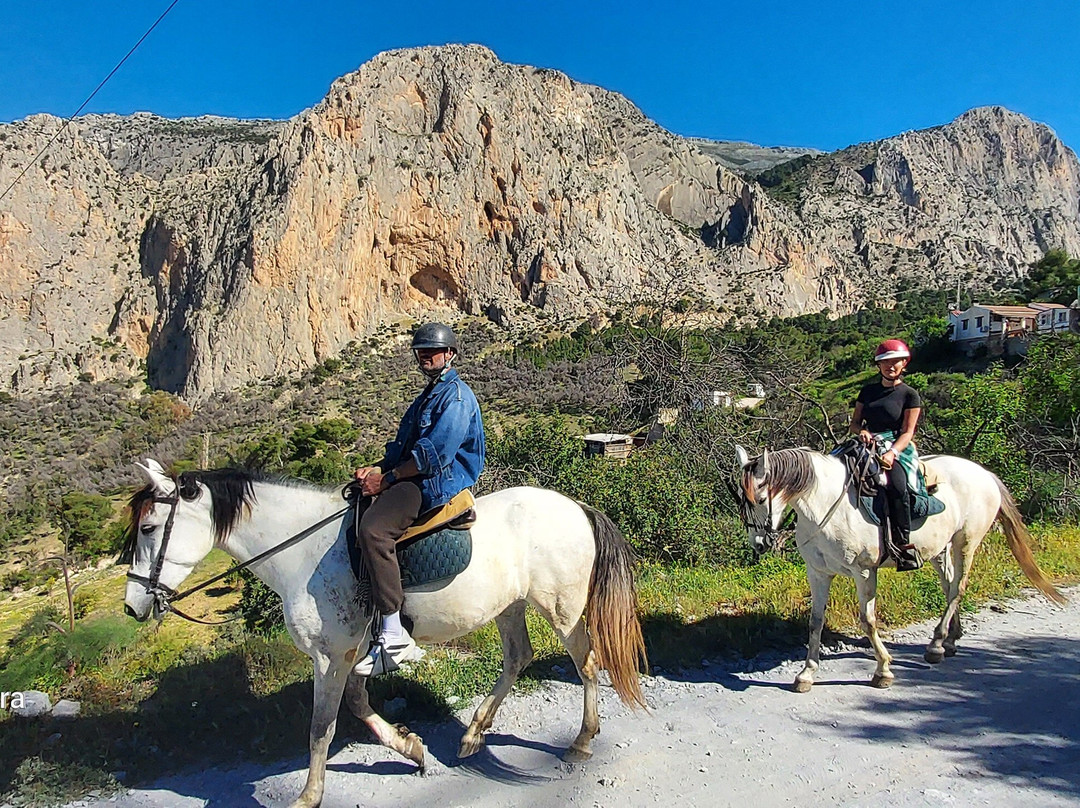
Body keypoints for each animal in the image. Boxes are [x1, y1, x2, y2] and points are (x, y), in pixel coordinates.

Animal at [121, 460, 648, 808]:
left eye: (148, 528)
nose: (133, 606)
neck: (303, 550)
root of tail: (577, 507)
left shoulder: (330, 656)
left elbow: (321, 726)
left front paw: (309, 795)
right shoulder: (352, 654)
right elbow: (357, 705)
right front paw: (410, 748)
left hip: (562, 608)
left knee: (587, 664)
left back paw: (581, 740)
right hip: (510, 606)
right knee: (519, 657)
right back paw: (473, 734)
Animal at [733, 445, 1066, 692]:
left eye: (761, 498)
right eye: (742, 502)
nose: (759, 543)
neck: (826, 505)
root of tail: (984, 474)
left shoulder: (864, 572)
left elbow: (867, 621)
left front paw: (883, 670)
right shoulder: (818, 572)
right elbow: (815, 622)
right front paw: (806, 674)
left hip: (966, 542)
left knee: (958, 588)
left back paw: (935, 645)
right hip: (939, 549)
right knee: (949, 586)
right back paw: (950, 640)